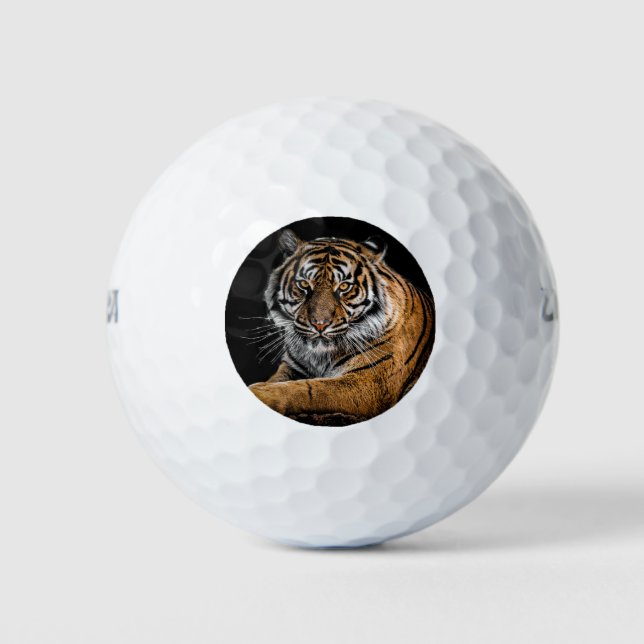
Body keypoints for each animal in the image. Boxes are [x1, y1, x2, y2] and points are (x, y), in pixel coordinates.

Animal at [248, 228, 435, 426]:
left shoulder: (370, 382)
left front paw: (260, 392)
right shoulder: (291, 368)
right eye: (304, 284)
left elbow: (309, 389)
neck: (320, 356)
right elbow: (279, 380)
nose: (319, 324)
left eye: (344, 286)